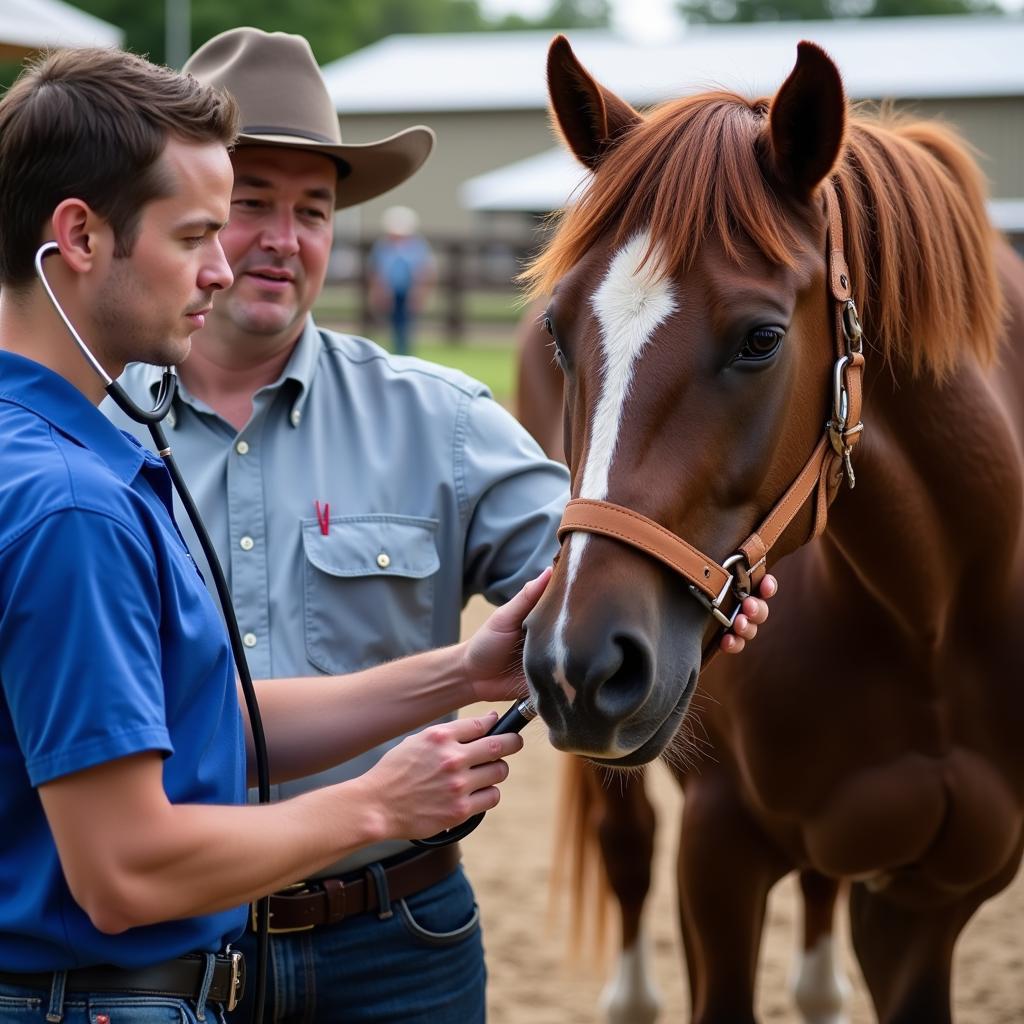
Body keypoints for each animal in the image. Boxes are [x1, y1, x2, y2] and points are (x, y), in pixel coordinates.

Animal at [520, 34, 1024, 1024]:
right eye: (561, 335)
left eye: (761, 339)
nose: (576, 661)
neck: (935, 608)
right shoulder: (719, 853)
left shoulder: (928, 904)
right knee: (628, 847)